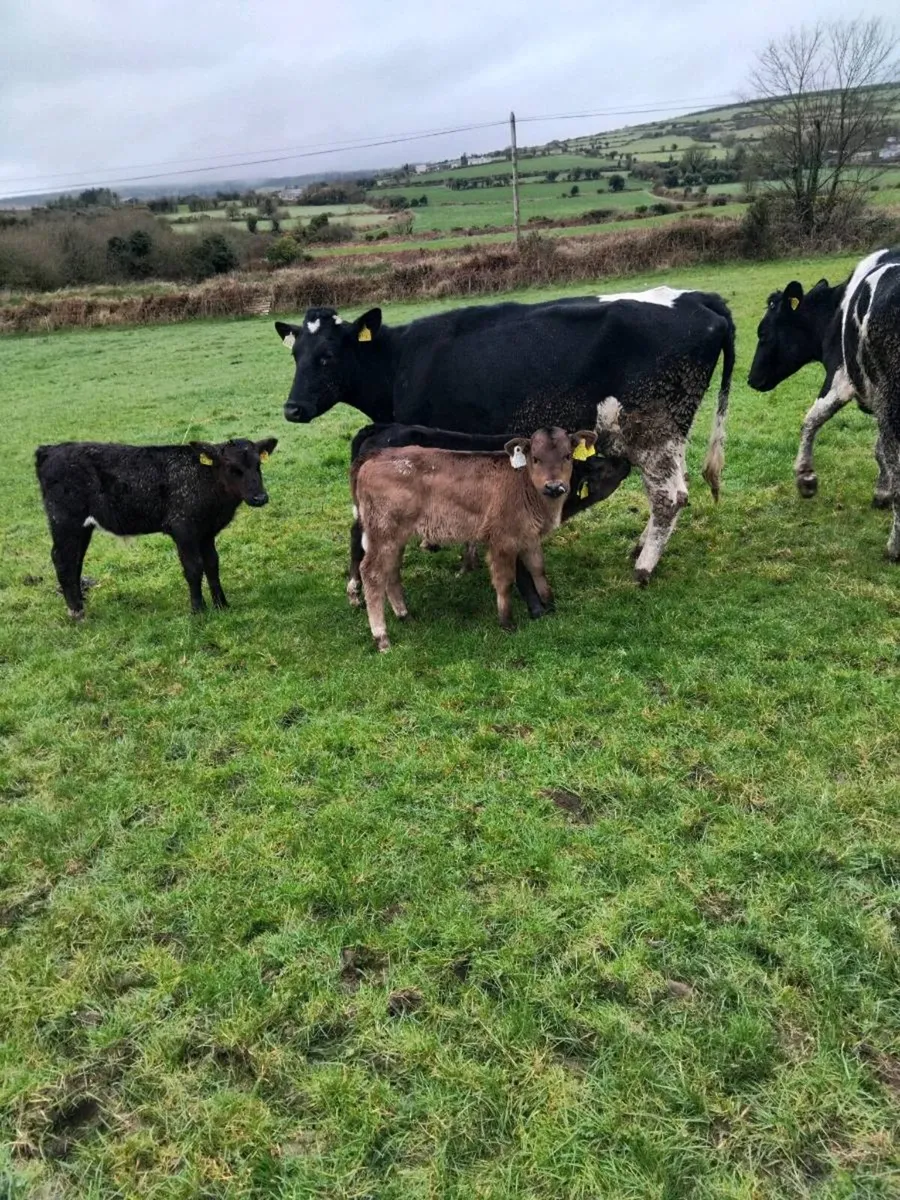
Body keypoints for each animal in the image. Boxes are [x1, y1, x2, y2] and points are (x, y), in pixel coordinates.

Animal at [35, 438, 277, 618]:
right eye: (232, 468)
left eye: (258, 465)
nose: (260, 497)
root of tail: (50, 449)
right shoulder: (183, 528)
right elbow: (193, 568)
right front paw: (198, 610)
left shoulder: (207, 532)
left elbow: (212, 565)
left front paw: (222, 605)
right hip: (64, 520)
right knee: (62, 559)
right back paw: (76, 611)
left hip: (81, 527)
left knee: (75, 559)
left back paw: (80, 601)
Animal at [276, 285, 735, 585]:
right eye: (295, 355)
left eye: (327, 356)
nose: (292, 409)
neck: (400, 360)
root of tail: (697, 297)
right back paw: (640, 549)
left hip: (652, 434)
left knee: (669, 497)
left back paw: (644, 566)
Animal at [347, 422, 631, 616]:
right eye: (597, 465)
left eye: (570, 456)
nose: (625, 461)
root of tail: (379, 428)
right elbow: (520, 570)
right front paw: (536, 609)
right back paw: (355, 591)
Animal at [748, 248, 900, 557]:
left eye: (763, 333)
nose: (750, 378)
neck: (835, 312)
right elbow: (879, 450)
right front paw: (881, 492)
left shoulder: (840, 379)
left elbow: (810, 421)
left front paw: (806, 478)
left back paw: (894, 547)